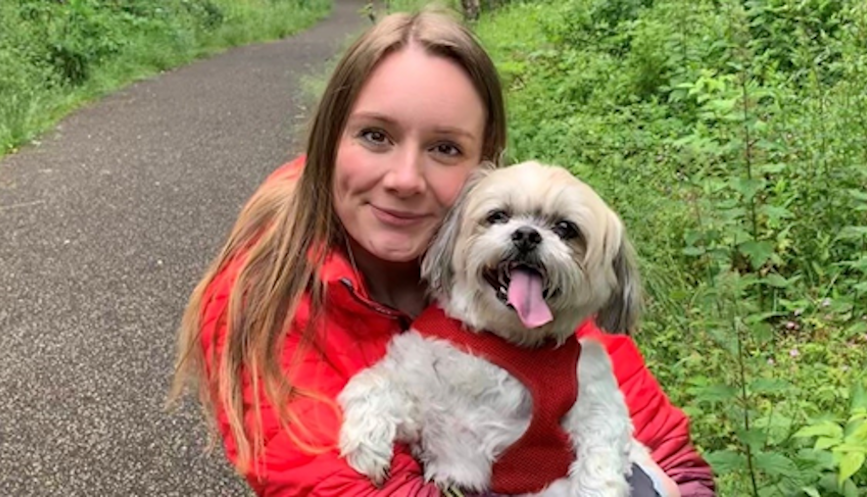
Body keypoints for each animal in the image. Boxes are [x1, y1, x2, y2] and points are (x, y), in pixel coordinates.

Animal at [336, 161, 648, 494]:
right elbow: (373, 383)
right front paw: (368, 445)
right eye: (498, 216)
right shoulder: (423, 402)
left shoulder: (593, 391)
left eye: (566, 229)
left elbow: (603, 449)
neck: (506, 343)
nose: (527, 234)